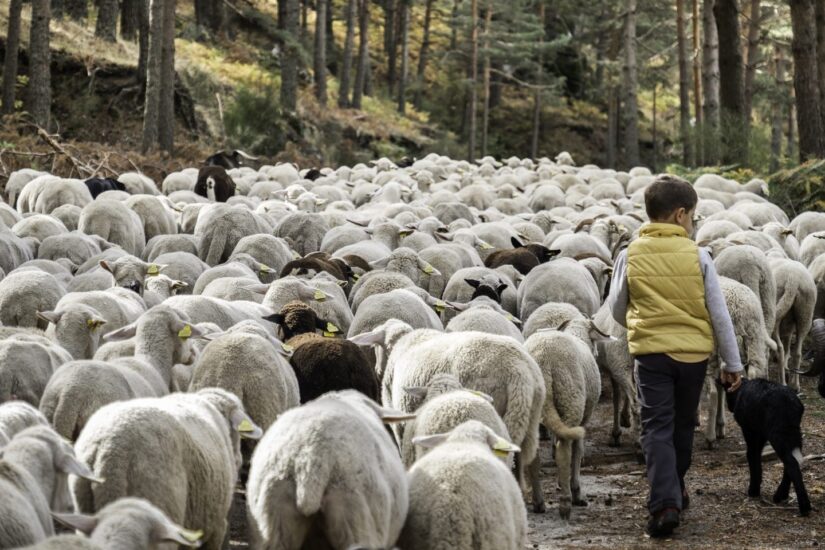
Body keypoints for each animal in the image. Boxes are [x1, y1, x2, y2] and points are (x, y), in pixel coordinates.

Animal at [724, 380, 808, 516]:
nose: (729, 408)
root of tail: (793, 404)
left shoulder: (749, 430)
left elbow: (751, 454)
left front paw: (753, 490)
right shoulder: (760, 433)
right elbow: (756, 454)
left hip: (778, 432)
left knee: (791, 462)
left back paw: (804, 506)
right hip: (794, 433)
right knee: (793, 459)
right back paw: (781, 495)